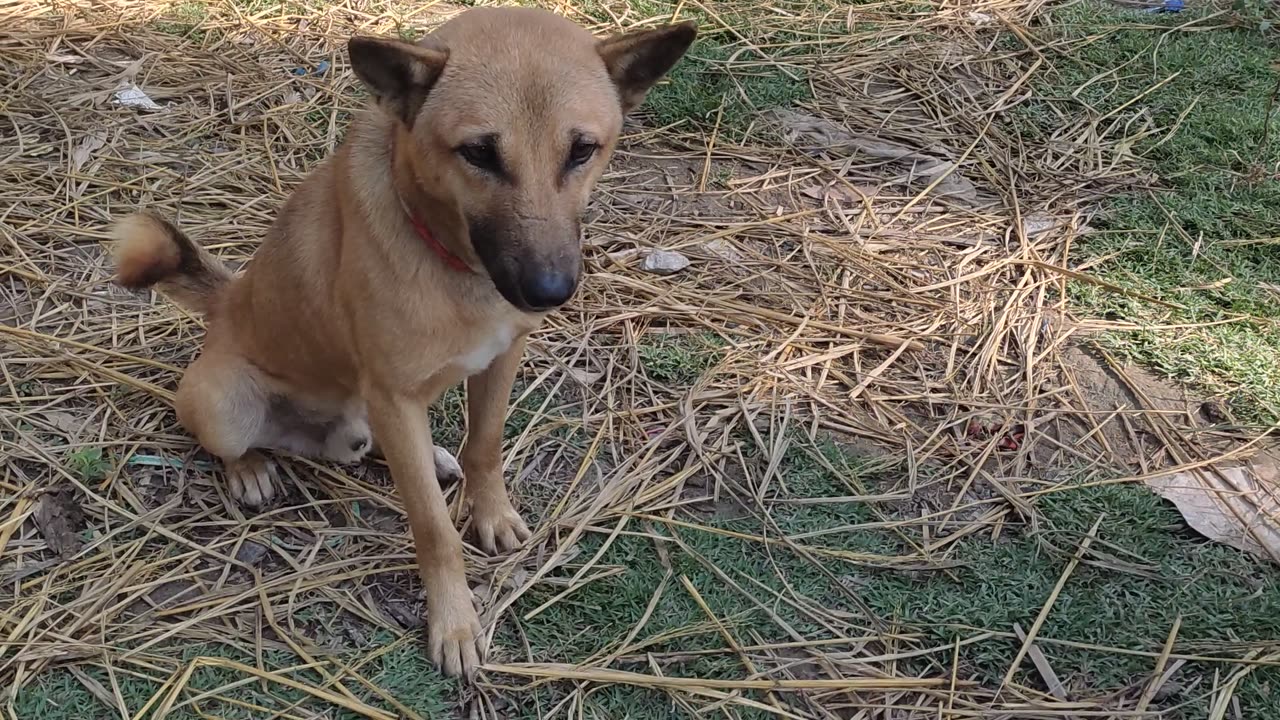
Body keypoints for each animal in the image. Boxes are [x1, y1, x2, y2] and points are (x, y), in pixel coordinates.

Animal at [106, 8, 696, 676]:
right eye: (478, 153)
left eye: (582, 150)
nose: (548, 291)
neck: (452, 261)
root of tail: (229, 300)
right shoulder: (394, 395)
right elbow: (434, 531)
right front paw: (455, 622)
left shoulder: (499, 361)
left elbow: (485, 447)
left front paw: (490, 514)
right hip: (227, 404)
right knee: (235, 443)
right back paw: (251, 469)